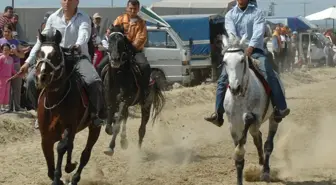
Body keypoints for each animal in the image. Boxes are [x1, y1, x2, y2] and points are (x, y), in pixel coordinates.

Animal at [35, 28, 101, 185]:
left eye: (57, 55)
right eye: (38, 53)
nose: (42, 77)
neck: (55, 101)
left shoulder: (69, 127)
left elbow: (61, 147)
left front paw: (59, 177)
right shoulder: (46, 137)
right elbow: (50, 166)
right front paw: (58, 176)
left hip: (95, 128)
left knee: (85, 154)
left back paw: (75, 177)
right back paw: (69, 166)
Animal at [102, 24, 165, 155]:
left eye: (122, 42)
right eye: (110, 41)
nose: (115, 59)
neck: (118, 77)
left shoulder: (124, 101)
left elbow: (117, 125)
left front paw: (110, 147)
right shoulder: (110, 101)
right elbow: (109, 125)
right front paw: (114, 136)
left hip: (146, 105)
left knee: (141, 129)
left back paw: (138, 151)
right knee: (125, 118)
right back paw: (123, 141)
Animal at [220, 34, 286, 184]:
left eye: (241, 60)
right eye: (225, 61)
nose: (234, 87)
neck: (241, 96)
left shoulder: (255, 117)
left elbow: (249, 121)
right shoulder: (233, 125)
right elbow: (239, 158)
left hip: (273, 118)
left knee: (268, 144)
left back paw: (265, 172)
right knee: (257, 137)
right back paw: (261, 161)